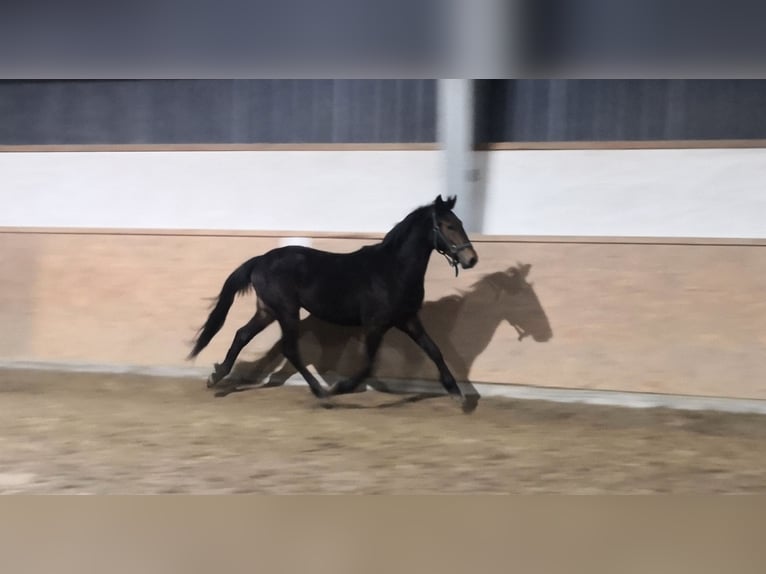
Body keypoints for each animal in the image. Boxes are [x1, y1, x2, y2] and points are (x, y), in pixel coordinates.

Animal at [188, 195, 480, 412]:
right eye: (448, 226)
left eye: (460, 222)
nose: (471, 259)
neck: (393, 269)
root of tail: (260, 260)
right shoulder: (375, 324)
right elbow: (367, 365)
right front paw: (339, 388)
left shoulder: (408, 319)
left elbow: (434, 350)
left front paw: (457, 394)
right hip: (286, 311)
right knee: (289, 349)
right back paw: (322, 393)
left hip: (267, 311)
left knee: (242, 335)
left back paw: (216, 377)